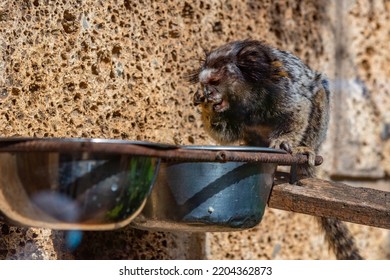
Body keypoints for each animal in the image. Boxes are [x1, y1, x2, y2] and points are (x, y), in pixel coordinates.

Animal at [189, 39, 362, 260]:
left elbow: (300, 107)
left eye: (215, 81)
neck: (248, 97)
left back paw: (304, 149)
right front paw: (204, 104)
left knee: (319, 93)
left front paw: (283, 142)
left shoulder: (280, 89)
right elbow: (226, 134)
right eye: (205, 84)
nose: (208, 94)